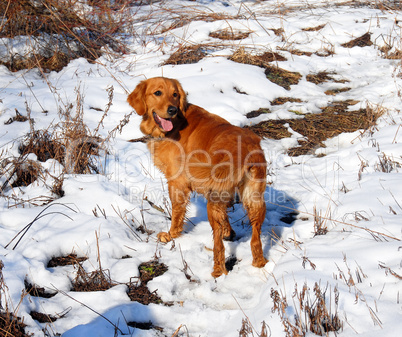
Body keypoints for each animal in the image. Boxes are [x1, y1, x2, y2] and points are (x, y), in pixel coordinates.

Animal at [129, 77, 266, 276]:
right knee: (256, 239)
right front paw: (229, 232)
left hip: (213, 202)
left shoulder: (177, 183)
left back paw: (217, 271)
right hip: (254, 199)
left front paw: (171, 235)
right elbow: (226, 218)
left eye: (175, 94)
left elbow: (177, 214)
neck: (176, 124)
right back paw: (259, 263)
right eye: (158, 93)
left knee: (218, 246)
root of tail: (246, 148)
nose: (172, 109)